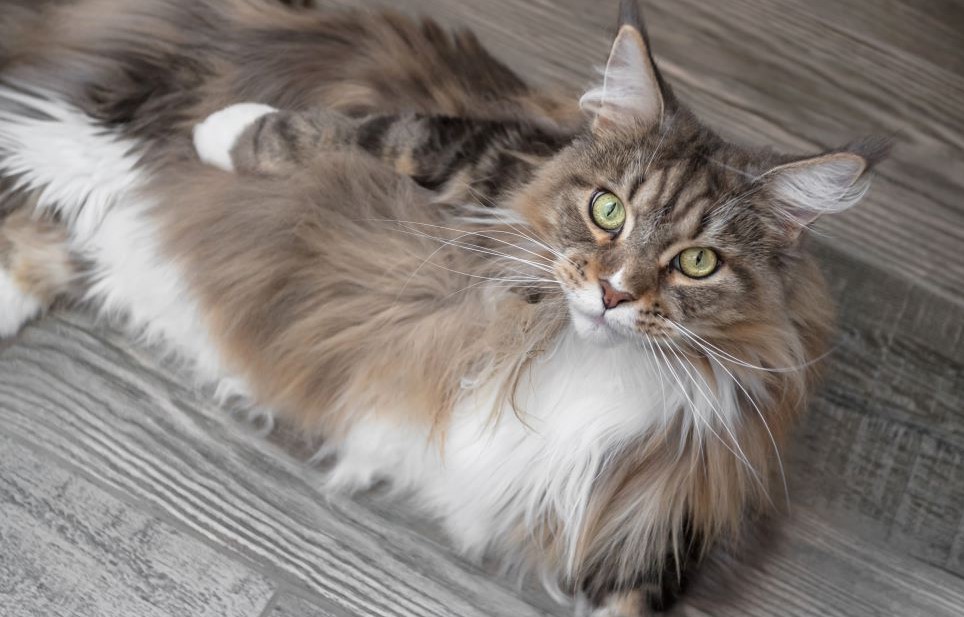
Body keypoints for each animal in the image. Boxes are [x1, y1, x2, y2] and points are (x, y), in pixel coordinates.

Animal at [0, 1, 888, 616]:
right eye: (607, 210)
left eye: (697, 262)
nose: (612, 293)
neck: (588, 351)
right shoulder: (483, 155)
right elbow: (357, 131)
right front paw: (232, 130)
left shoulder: (647, 529)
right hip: (98, 139)